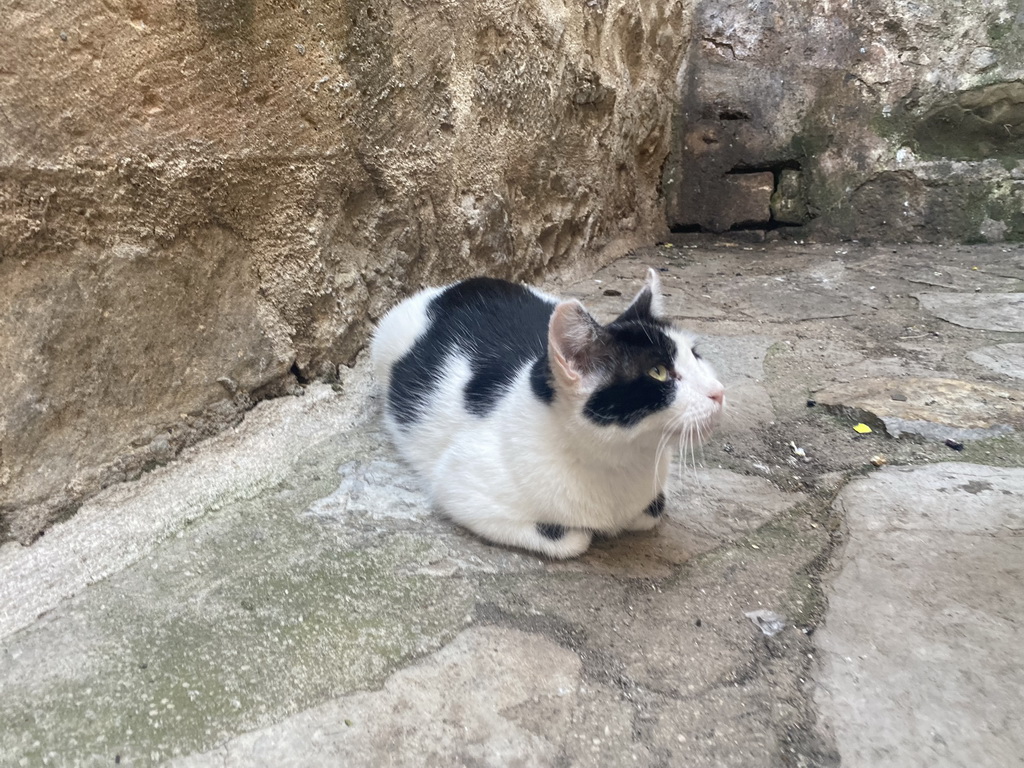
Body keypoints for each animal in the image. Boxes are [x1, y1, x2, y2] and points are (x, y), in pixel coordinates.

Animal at [372, 270, 724, 561]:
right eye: (658, 372)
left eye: (695, 355)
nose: (719, 392)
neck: (620, 461)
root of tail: (459, 284)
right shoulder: (461, 488)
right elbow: (571, 539)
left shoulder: (650, 498)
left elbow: (651, 510)